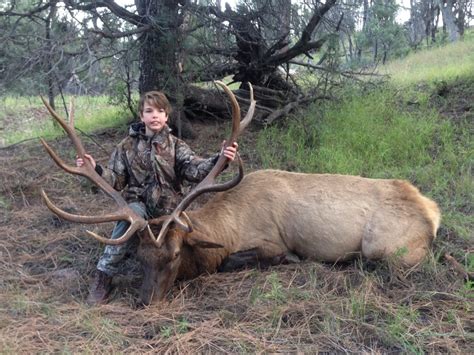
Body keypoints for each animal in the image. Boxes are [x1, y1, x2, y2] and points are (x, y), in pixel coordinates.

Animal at [39, 84, 440, 306]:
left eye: (174, 256)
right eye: (140, 257)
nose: (144, 302)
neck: (229, 227)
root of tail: (432, 212)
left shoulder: (271, 243)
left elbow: (235, 261)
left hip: (387, 247)